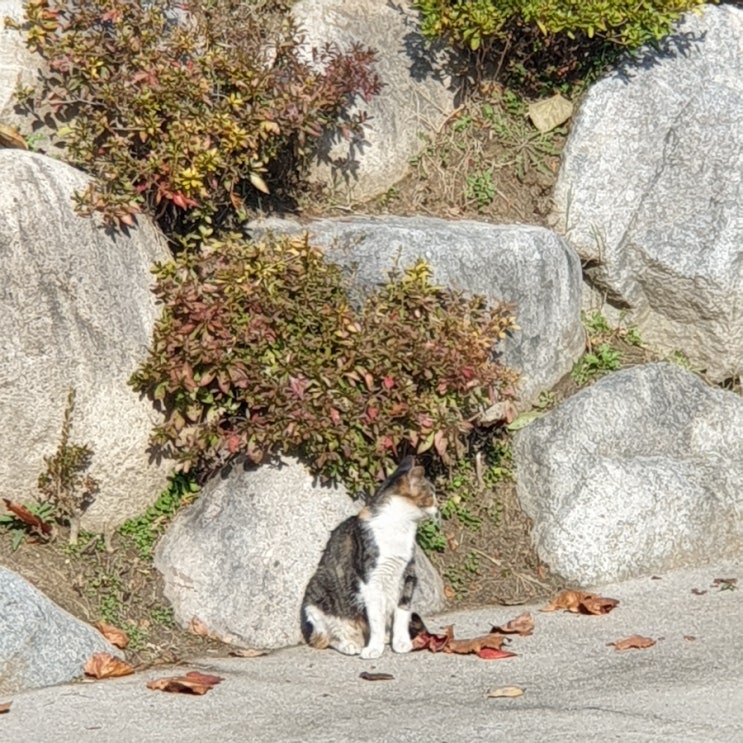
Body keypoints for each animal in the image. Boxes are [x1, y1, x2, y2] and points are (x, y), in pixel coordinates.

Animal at [300, 456, 436, 660]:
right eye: (432, 493)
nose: (438, 506)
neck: (399, 527)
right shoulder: (371, 581)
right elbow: (376, 619)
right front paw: (374, 649)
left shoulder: (408, 575)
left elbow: (402, 612)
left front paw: (401, 642)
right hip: (317, 594)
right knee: (327, 638)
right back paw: (350, 644)